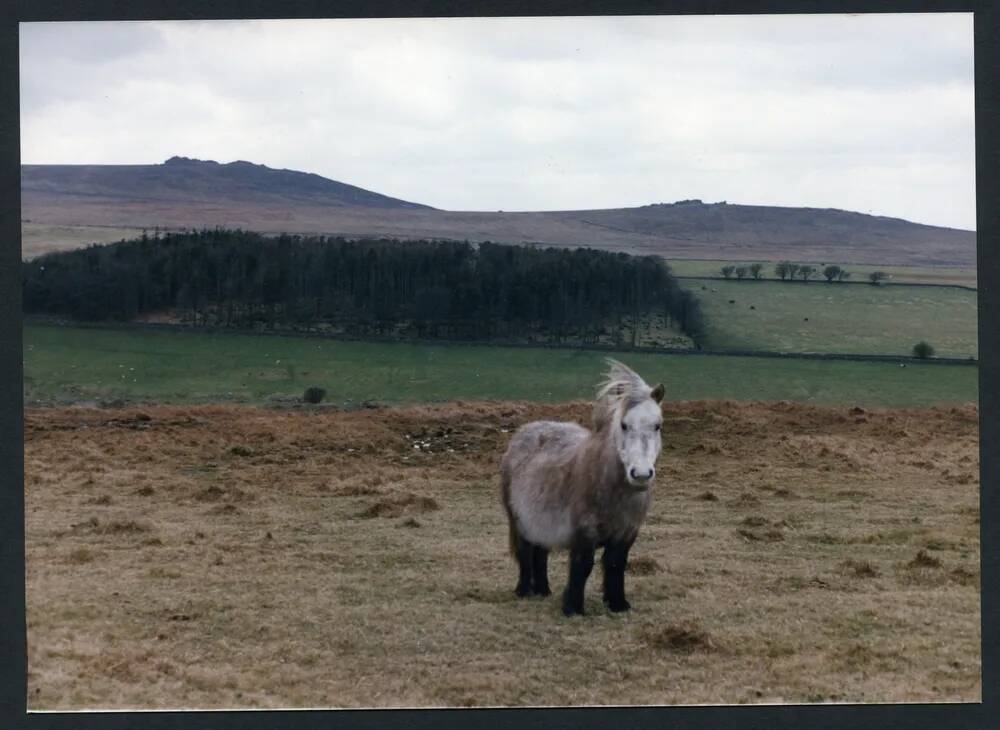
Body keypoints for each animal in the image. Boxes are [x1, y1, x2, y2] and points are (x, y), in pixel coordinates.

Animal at [500, 358, 664, 616]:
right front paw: (573, 607)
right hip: (519, 522)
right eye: (624, 425)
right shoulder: (584, 532)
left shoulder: (626, 533)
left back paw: (543, 590)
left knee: (540, 553)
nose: (641, 474)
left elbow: (616, 565)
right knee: (525, 553)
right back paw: (524, 590)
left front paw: (617, 604)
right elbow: (582, 566)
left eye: (657, 426)